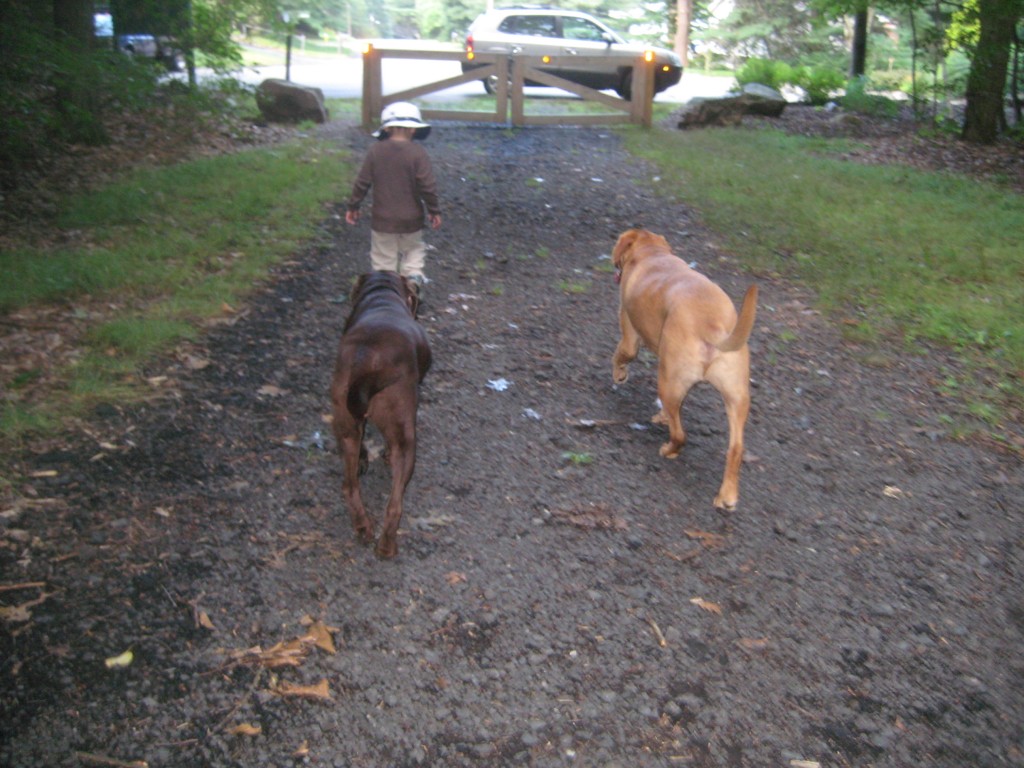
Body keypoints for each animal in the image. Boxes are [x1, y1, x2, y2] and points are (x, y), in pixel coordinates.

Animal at [329, 270, 430, 561]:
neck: (382, 294)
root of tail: (366, 359)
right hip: (405, 439)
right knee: (394, 503)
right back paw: (386, 547)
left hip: (345, 424)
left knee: (349, 486)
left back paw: (363, 528)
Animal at [606, 228, 761, 512]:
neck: (652, 254)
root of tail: (712, 326)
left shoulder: (630, 335)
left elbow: (621, 355)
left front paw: (619, 375)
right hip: (736, 399)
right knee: (735, 449)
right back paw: (727, 497)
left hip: (667, 382)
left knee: (680, 435)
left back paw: (668, 450)